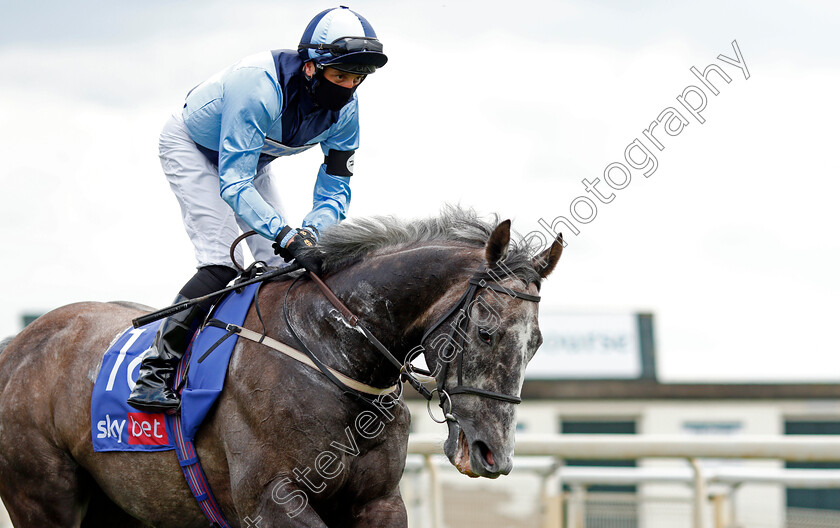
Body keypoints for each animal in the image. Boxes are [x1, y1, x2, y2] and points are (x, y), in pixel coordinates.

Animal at [1, 208, 564, 524]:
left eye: (536, 343)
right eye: (486, 332)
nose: (493, 455)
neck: (328, 354)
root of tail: (17, 346)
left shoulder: (380, 502)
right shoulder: (271, 501)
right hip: (41, 497)